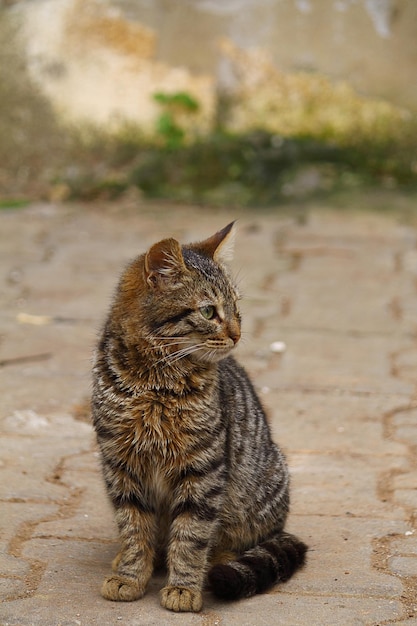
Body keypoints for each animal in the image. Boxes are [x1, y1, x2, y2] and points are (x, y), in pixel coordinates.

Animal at [91, 223, 306, 608]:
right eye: (208, 312)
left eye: (236, 306)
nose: (237, 334)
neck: (155, 383)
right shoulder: (121, 465)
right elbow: (134, 529)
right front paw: (130, 575)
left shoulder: (202, 469)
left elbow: (191, 535)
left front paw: (184, 586)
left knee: (242, 541)